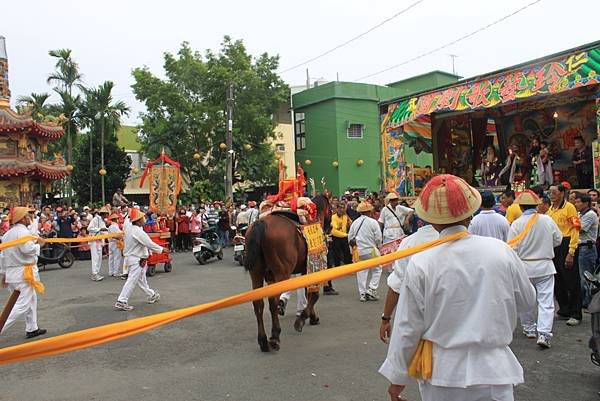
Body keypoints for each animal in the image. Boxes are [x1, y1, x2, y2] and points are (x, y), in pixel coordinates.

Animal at [245, 195, 332, 352]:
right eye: (332, 209)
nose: (331, 227)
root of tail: (260, 224)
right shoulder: (313, 267)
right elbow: (314, 294)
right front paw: (304, 318)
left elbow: (307, 293)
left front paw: (310, 316)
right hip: (282, 273)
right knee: (273, 301)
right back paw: (275, 336)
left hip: (256, 272)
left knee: (258, 303)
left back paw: (263, 340)